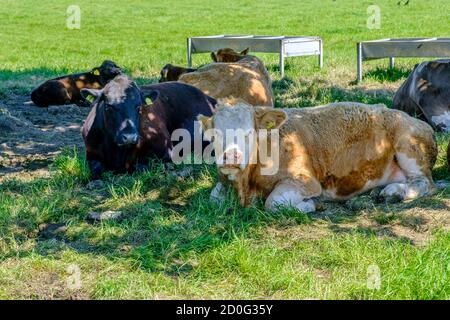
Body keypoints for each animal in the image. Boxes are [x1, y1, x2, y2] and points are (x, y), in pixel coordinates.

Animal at [81, 75, 215, 180]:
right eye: (108, 106)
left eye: (138, 106)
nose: (129, 137)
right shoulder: (91, 154)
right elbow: (95, 170)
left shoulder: (165, 150)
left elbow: (141, 166)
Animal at [199, 100, 438, 210]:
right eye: (215, 134)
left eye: (249, 133)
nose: (231, 158)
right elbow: (213, 197)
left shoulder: (306, 181)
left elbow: (273, 202)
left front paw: (311, 205)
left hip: (408, 146)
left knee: (425, 183)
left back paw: (394, 192)